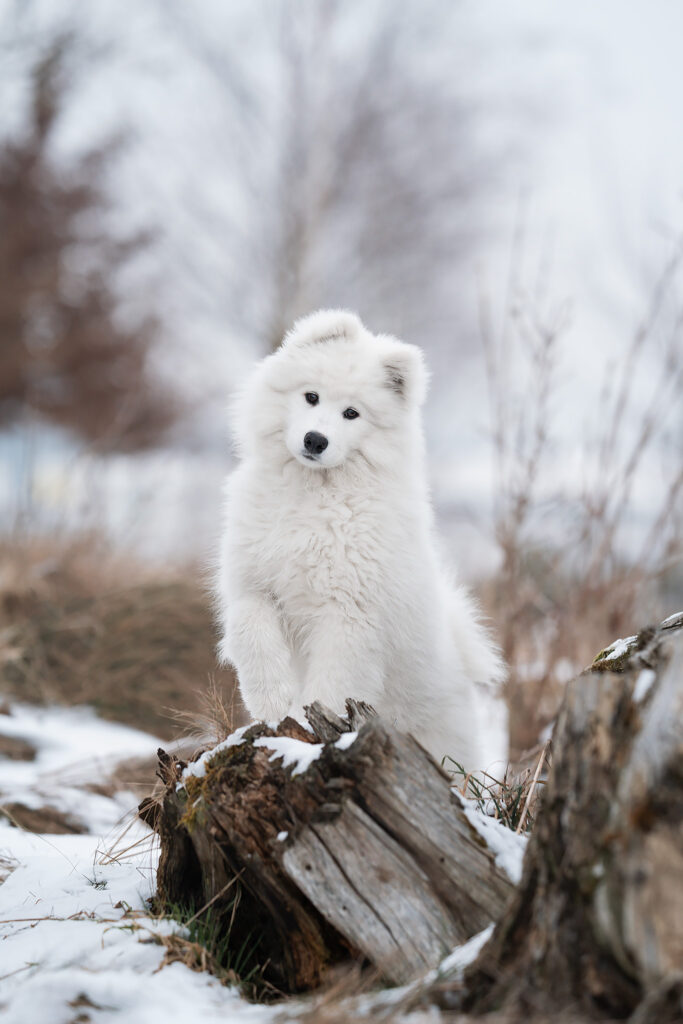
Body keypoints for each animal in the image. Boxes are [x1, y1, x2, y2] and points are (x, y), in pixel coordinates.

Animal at [216, 311, 509, 770]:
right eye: (311, 397)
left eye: (351, 413)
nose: (315, 440)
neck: (315, 495)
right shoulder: (251, 585)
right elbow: (251, 633)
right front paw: (273, 701)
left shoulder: (349, 617)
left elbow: (329, 687)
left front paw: (305, 728)